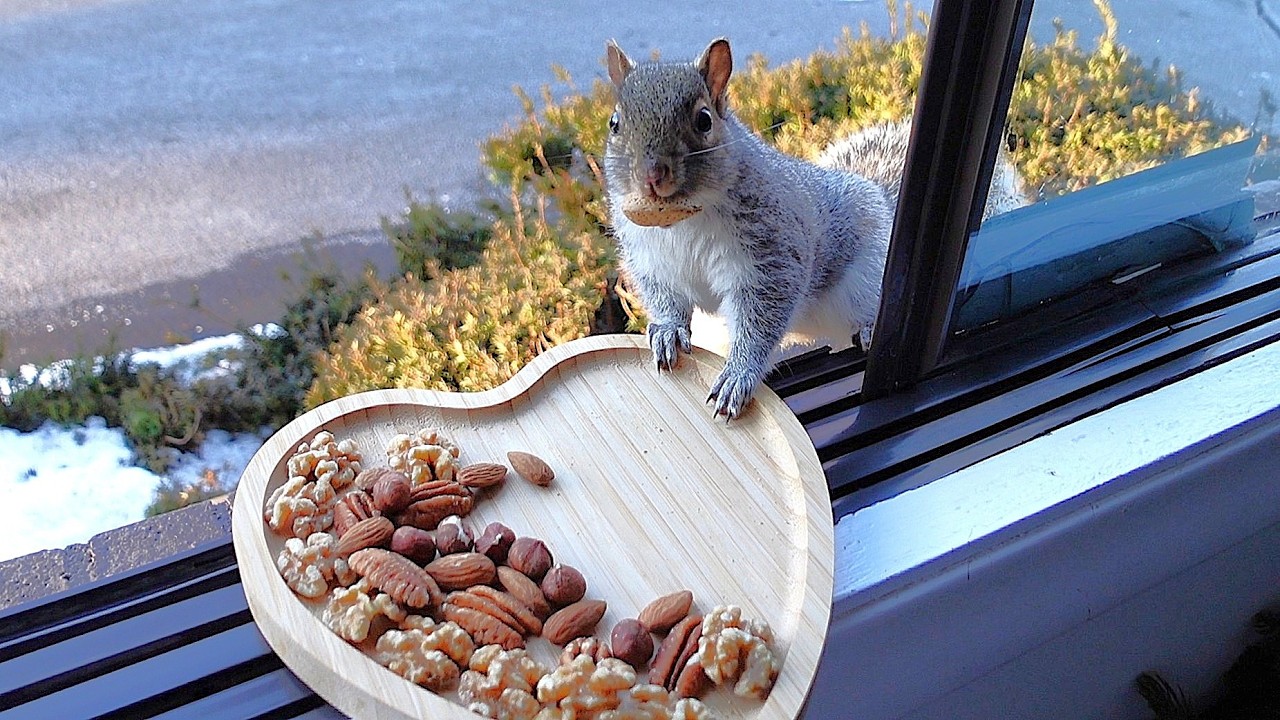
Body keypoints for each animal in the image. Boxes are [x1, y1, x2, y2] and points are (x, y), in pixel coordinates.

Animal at [603, 37, 1025, 420]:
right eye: (615, 123)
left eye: (704, 120)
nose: (652, 175)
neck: (681, 219)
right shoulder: (651, 257)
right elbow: (664, 296)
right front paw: (667, 330)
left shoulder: (773, 252)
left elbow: (762, 317)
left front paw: (738, 375)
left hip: (868, 277)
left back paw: (869, 328)